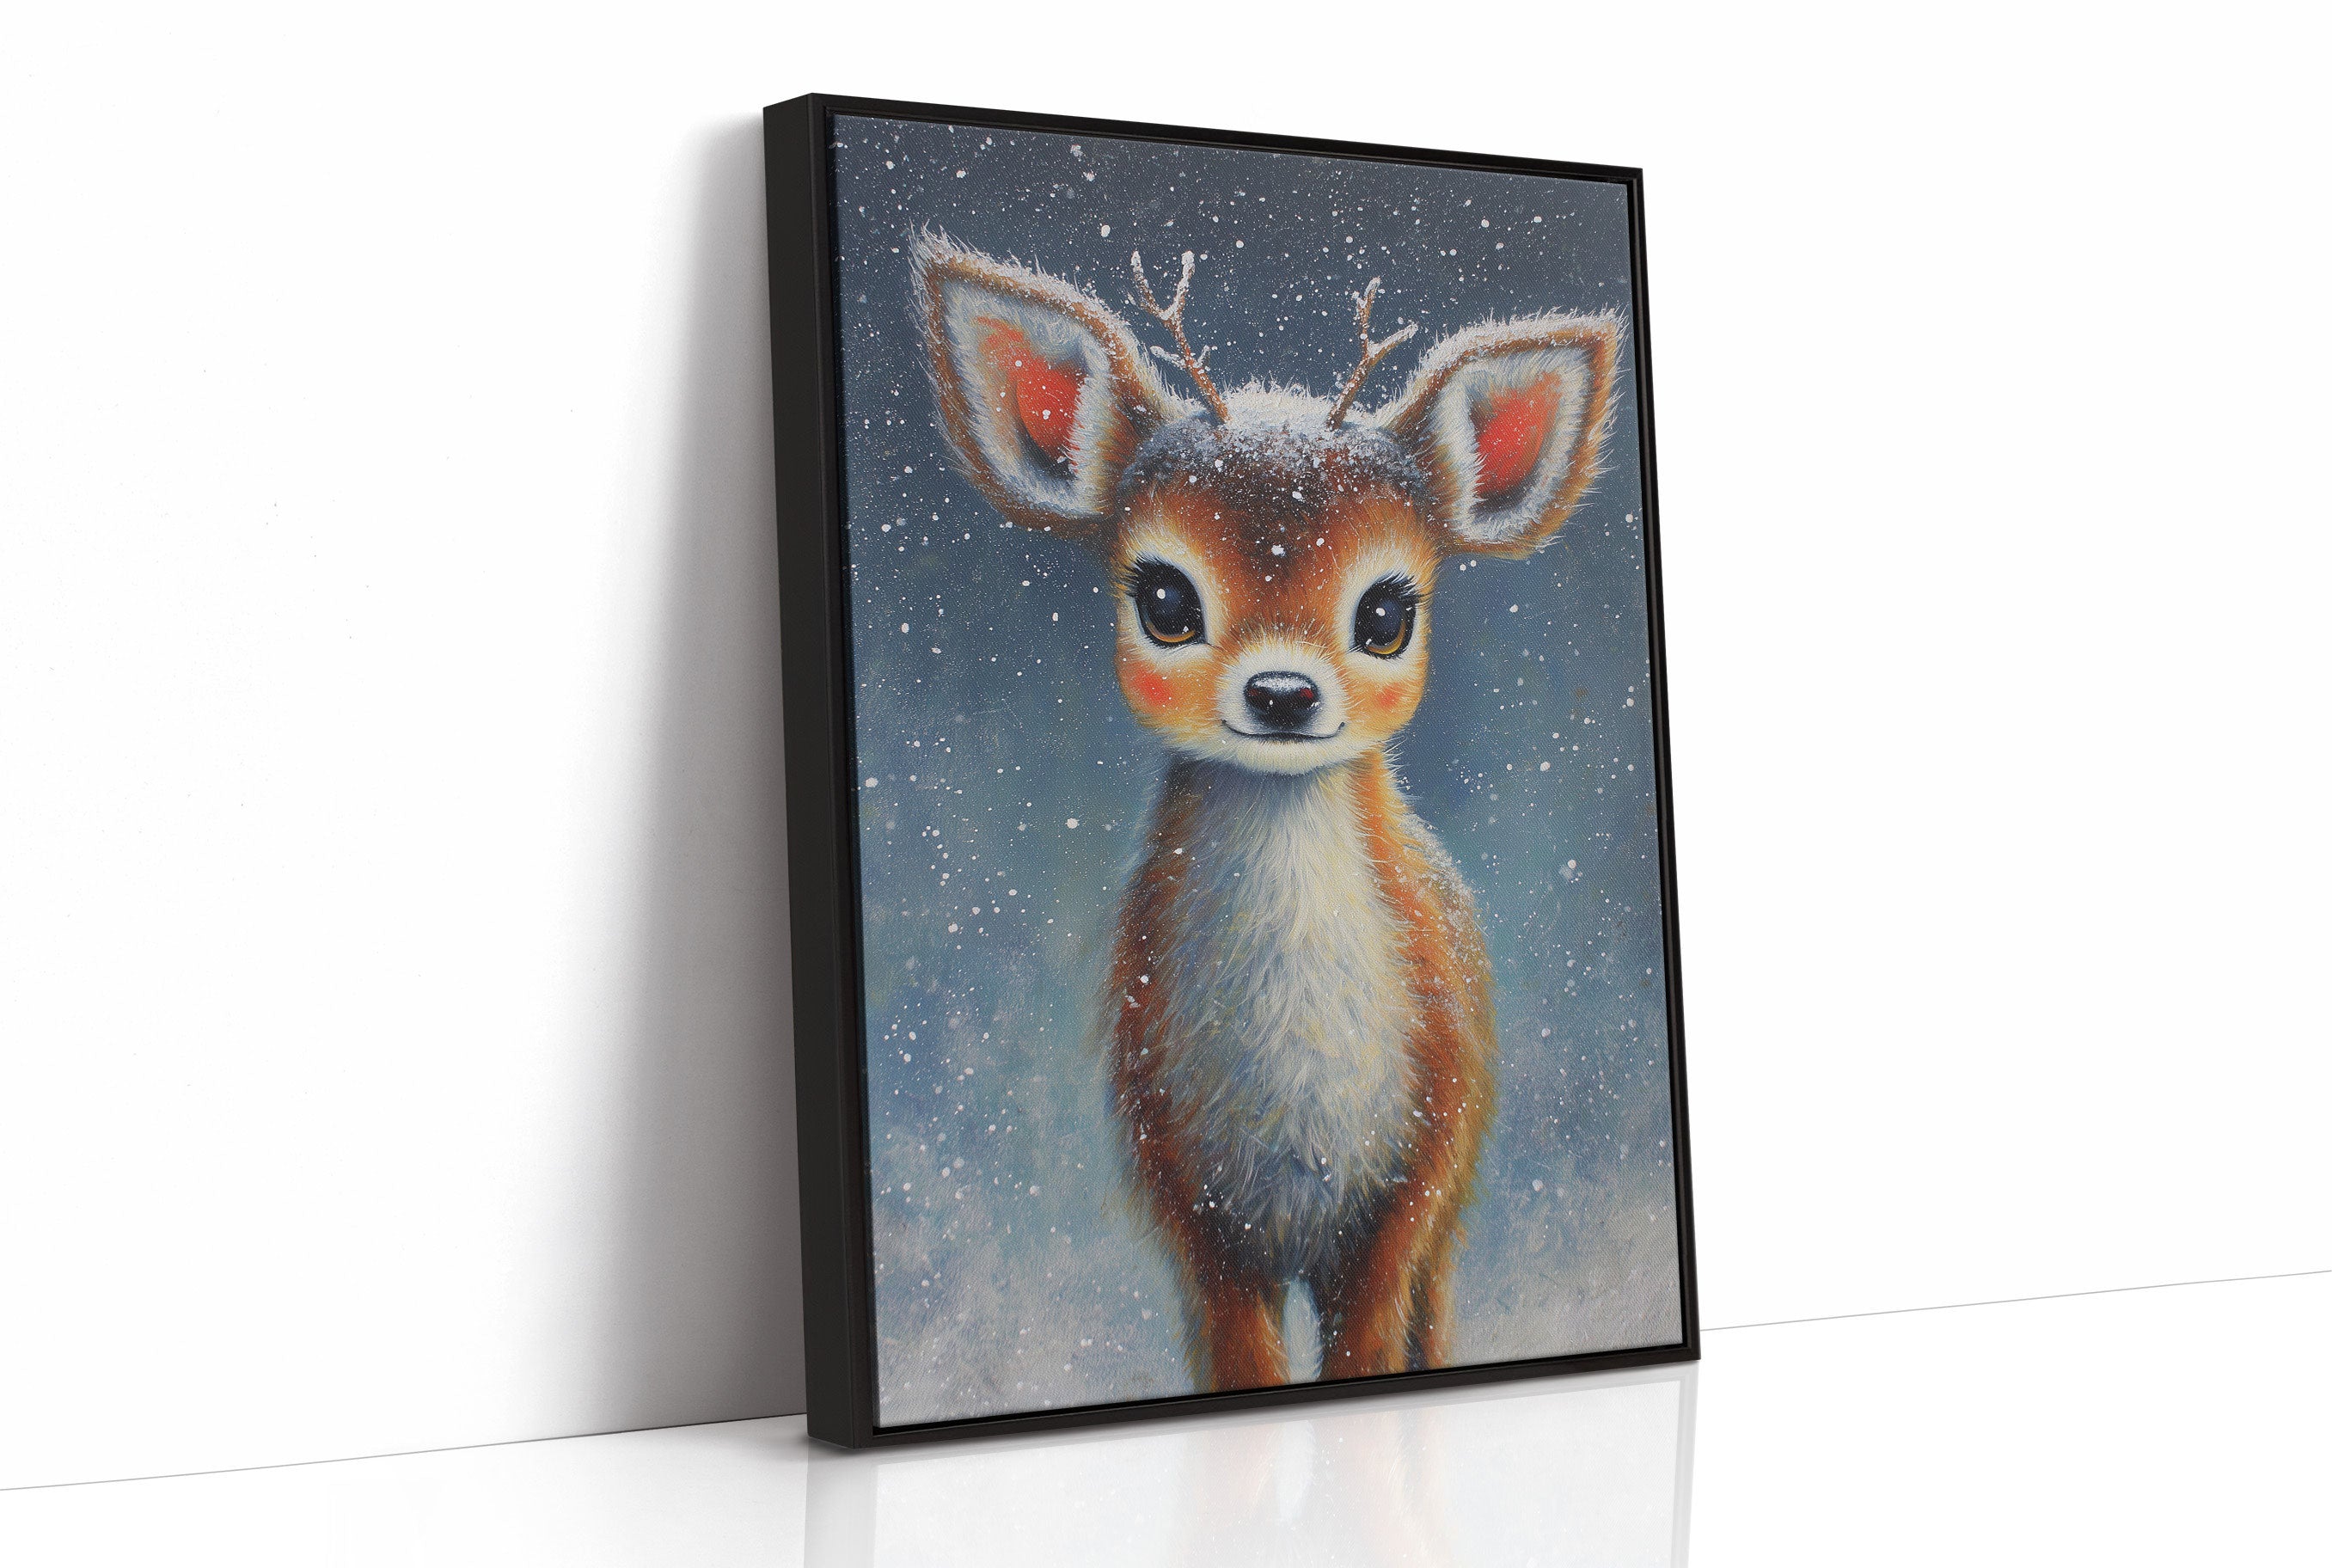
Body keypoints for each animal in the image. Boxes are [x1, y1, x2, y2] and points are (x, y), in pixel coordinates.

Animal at [912, 230, 1622, 1393]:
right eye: (1164, 599)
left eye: (1385, 613)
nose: (1283, 692)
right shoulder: (1184, 1202)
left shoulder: (1408, 1189)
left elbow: (1376, 1346)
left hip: (1456, 1192)